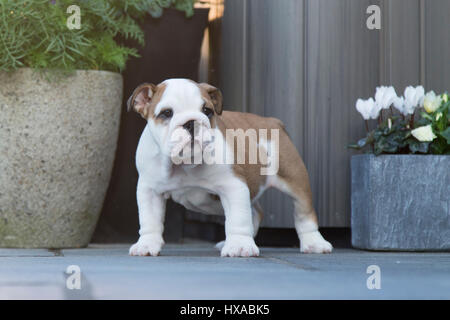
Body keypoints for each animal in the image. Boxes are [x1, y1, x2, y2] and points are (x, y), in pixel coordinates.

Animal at [126, 79, 330, 256]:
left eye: (207, 110)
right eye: (166, 113)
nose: (192, 122)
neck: (186, 164)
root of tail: (273, 122)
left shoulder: (233, 186)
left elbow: (238, 218)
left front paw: (239, 246)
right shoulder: (150, 190)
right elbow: (150, 220)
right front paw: (147, 244)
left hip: (295, 179)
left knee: (304, 213)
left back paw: (314, 243)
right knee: (255, 212)